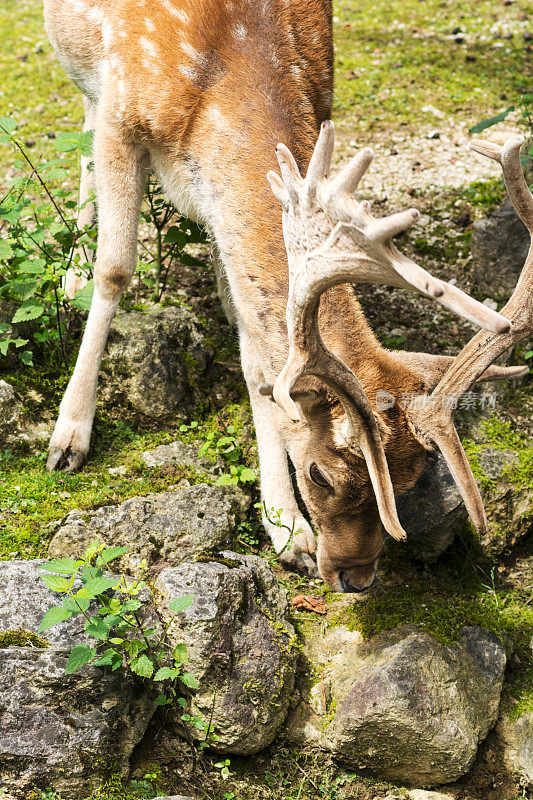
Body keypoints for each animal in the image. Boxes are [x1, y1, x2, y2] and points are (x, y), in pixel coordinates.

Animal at [43, 0, 528, 588]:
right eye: (321, 475)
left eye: (413, 478)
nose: (357, 576)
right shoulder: (122, 115)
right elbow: (116, 270)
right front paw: (69, 436)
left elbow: (256, 353)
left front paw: (287, 528)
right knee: (83, 132)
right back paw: (72, 276)